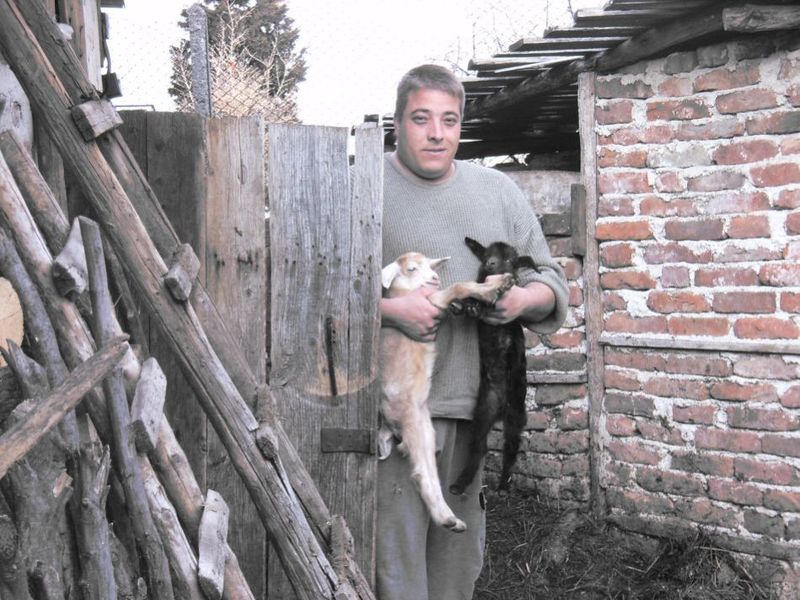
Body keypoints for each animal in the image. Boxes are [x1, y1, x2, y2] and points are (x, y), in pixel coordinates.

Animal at [380, 251, 514, 532]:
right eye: (411, 268)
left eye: (429, 265)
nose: (434, 277)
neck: (404, 289)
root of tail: (387, 422)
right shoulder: (429, 302)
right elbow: (459, 287)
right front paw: (496, 287)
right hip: (412, 424)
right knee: (422, 474)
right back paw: (447, 519)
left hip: (425, 428)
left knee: (430, 473)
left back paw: (454, 520)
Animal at [448, 238, 537, 495]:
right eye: (487, 254)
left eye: (509, 259)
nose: (490, 264)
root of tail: (500, 408)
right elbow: (471, 293)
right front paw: (464, 304)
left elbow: (492, 297)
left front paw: (477, 305)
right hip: (483, 409)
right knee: (479, 448)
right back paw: (459, 484)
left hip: (516, 412)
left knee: (511, 446)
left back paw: (504, 483)